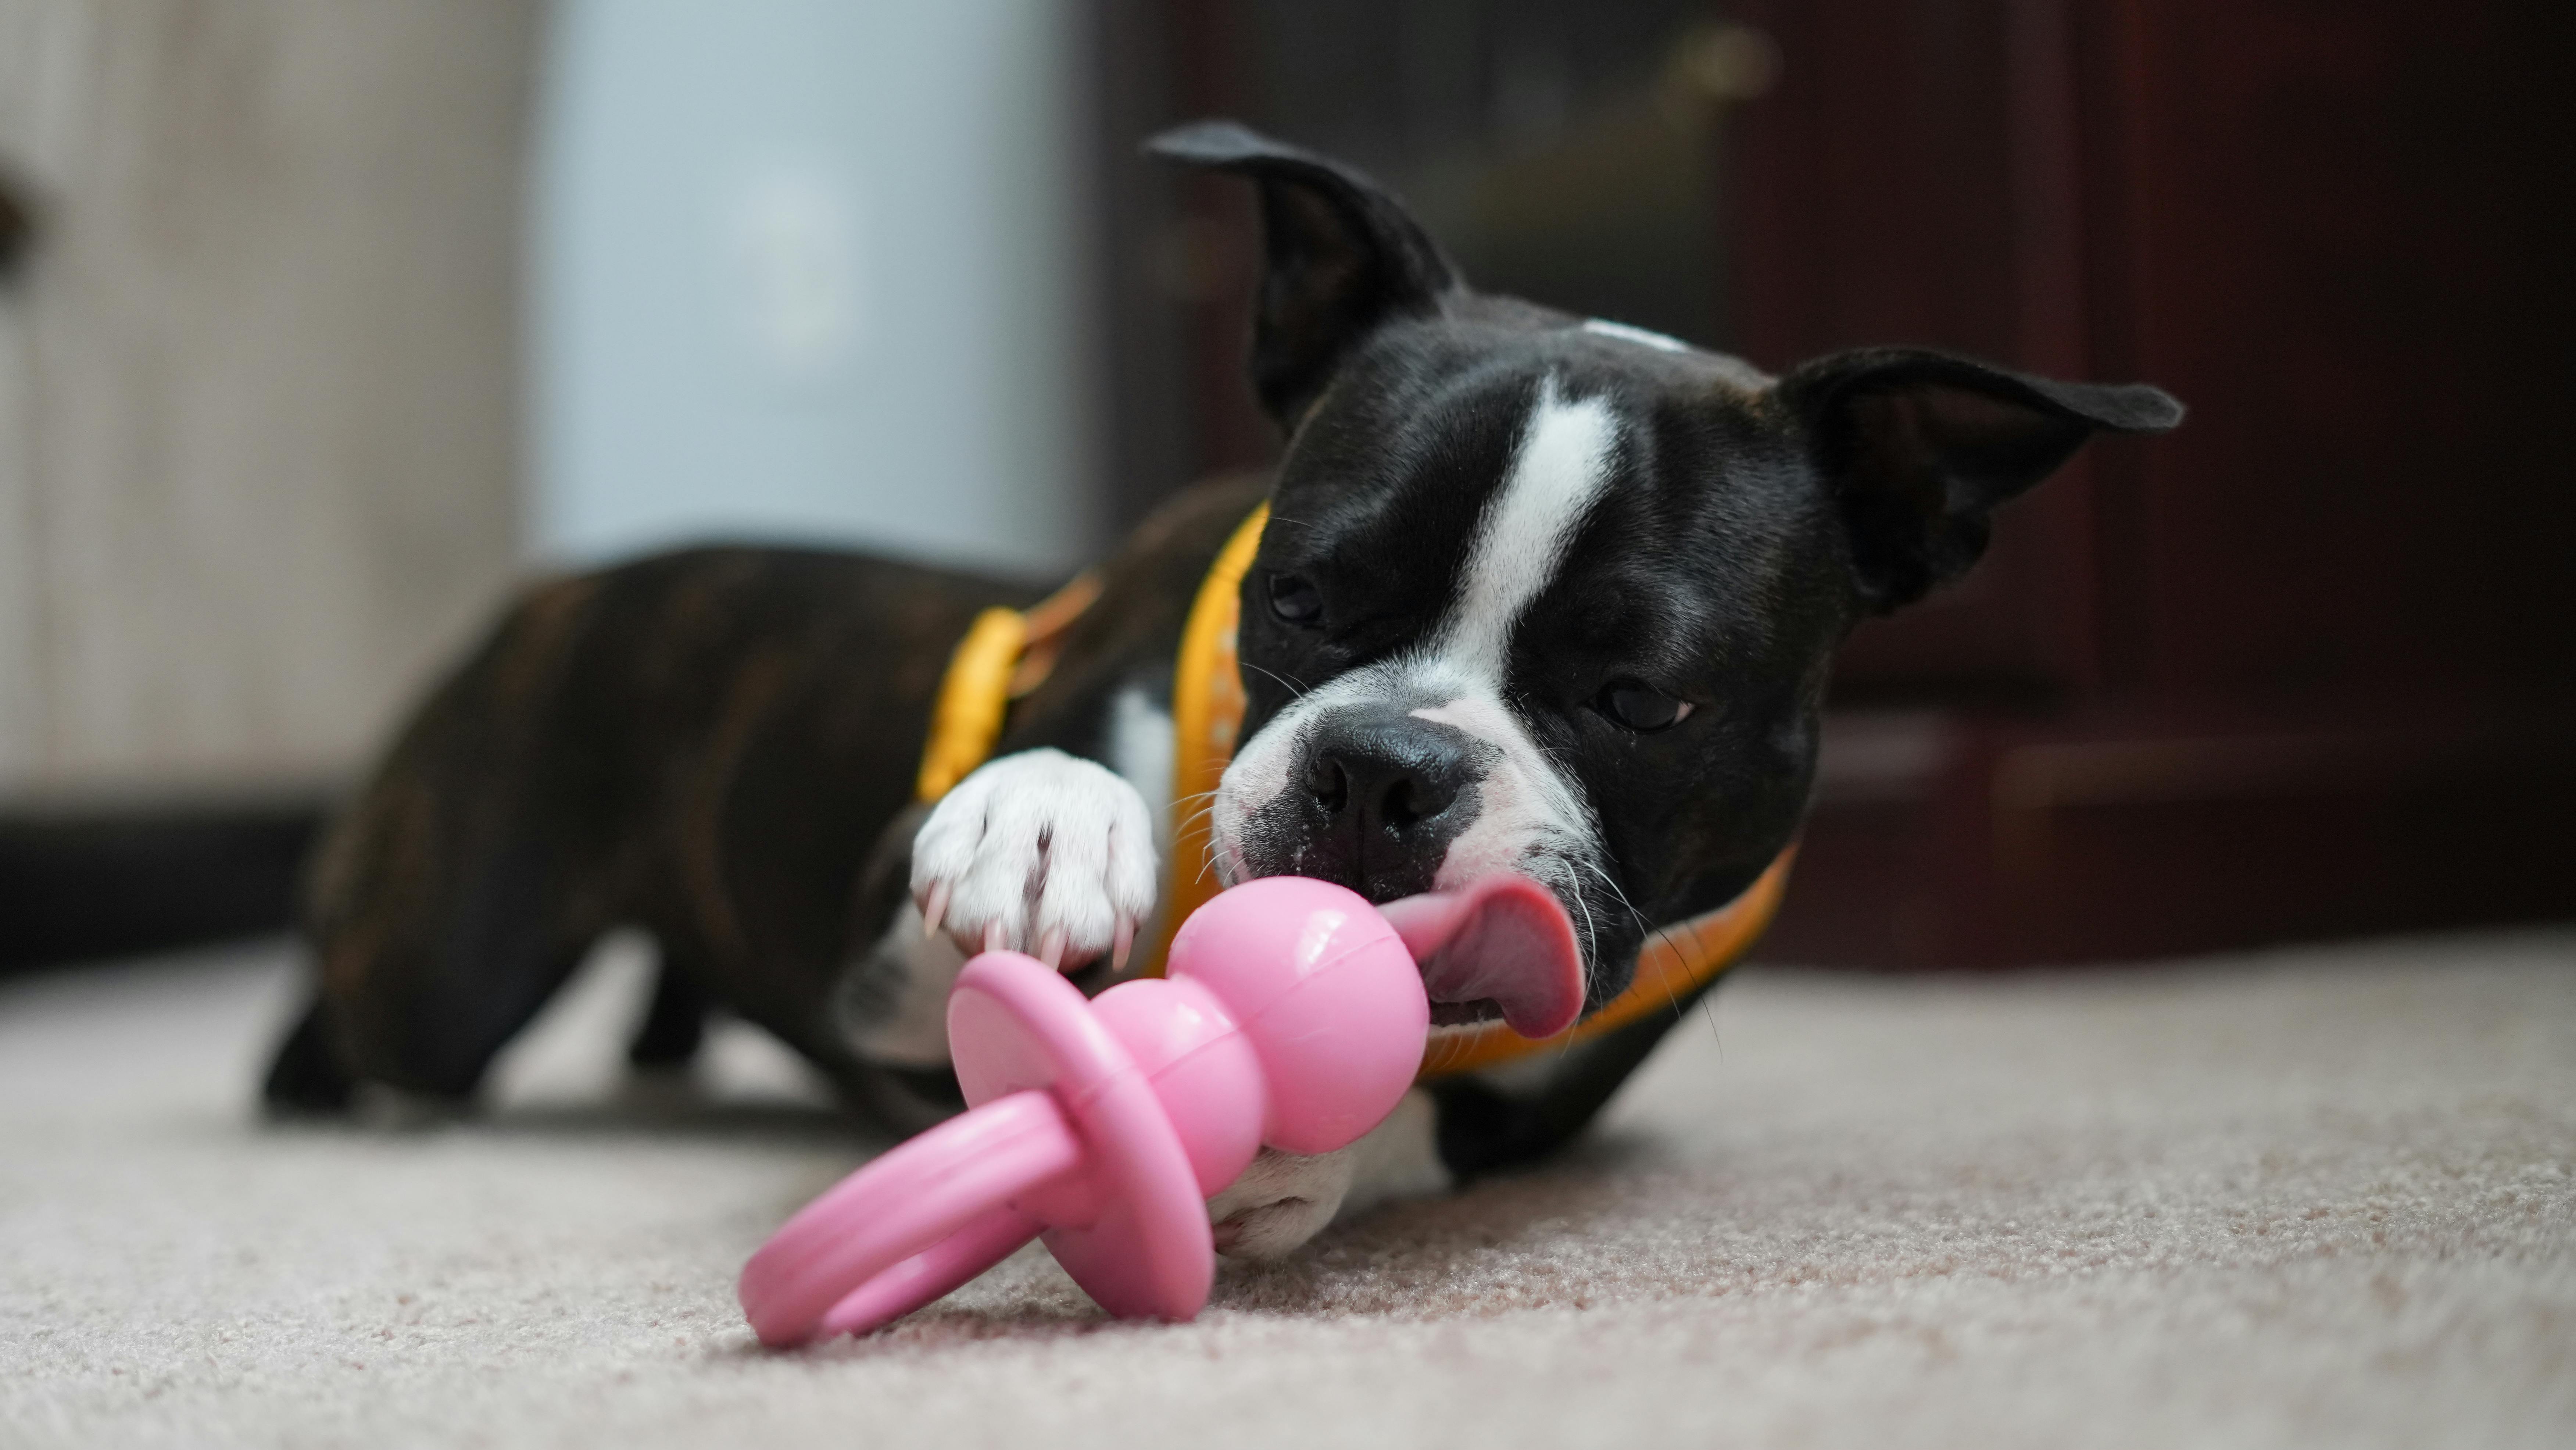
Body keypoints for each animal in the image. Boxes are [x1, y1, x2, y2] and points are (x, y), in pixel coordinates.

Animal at [272, 122, 2184, 1262]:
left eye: (1645, 697)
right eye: (1301, 594)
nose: (1385, 767)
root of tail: (558, 584)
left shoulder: (1545, 1085)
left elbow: (1414, 1100)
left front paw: (1291, 1139)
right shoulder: (875, 955)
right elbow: (1036, 827)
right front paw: (1048, 821)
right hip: (446, 957)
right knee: (371, 998)